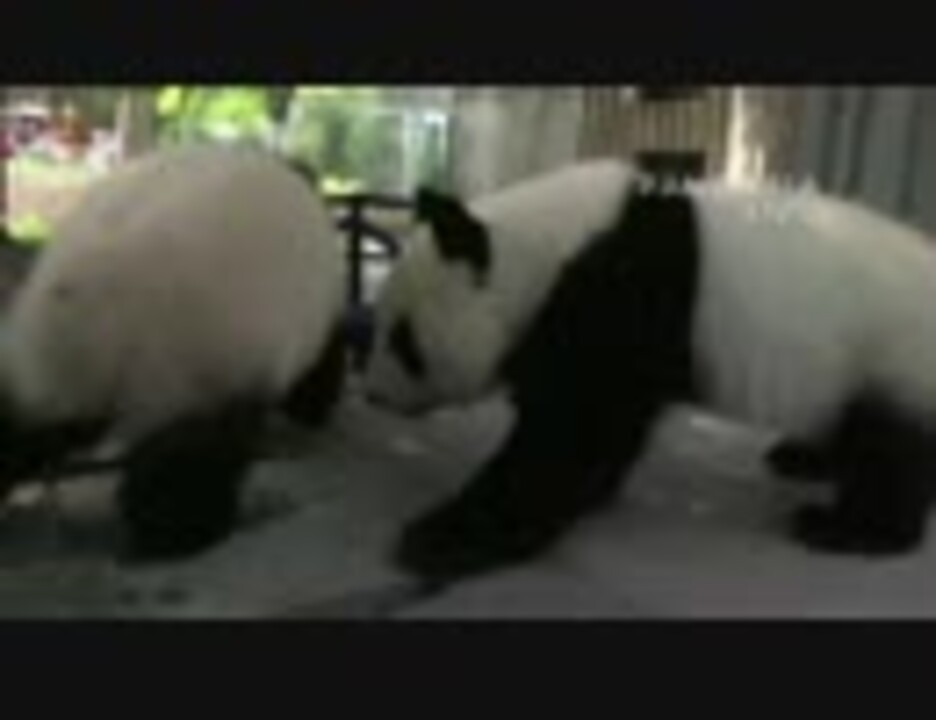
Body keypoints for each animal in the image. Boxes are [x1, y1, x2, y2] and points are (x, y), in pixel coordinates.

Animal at [0, 144, 347, 562]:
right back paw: (178, 537)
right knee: (190, 464)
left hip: (37, 362)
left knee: (19, 425)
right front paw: (315, 408)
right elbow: (320, 371)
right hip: (201, 365)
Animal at [362, 159, 936, 582]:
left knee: (891, 448)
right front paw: (590, 493)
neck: (547, 249)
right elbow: (607, 431)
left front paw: (442, 539)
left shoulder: (622, 293)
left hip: (897, 350)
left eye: (404, 341)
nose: (372, 395)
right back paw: (803, 459)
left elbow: (570, 429)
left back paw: (847, 528)